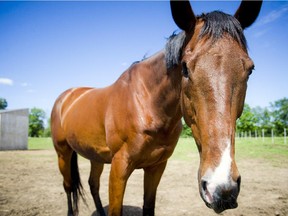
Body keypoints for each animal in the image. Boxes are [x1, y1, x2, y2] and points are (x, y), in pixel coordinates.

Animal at [50, 0, 262, 215]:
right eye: (185, 68)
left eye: (250, 69)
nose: (222, 189)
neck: (146, 104)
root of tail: (67, 97)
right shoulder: (119, 166)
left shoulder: (157, 167)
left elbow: (148, 206)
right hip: (63, 153)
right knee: (68, 186)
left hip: (96, 156)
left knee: (93, 184)